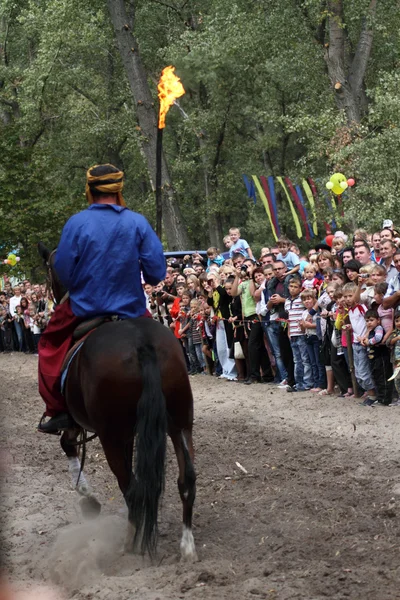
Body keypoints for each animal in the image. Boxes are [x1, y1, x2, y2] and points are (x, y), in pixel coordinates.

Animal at [38, 241, 198, 560]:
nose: (52, 300)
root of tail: (140, 343)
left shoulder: (82, 423)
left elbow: (67, 445)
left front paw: (89, 501)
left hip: (110, 435)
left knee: (131, 486)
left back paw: (130, 542)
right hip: (178, 422)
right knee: (186, 479)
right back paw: (186, 545)